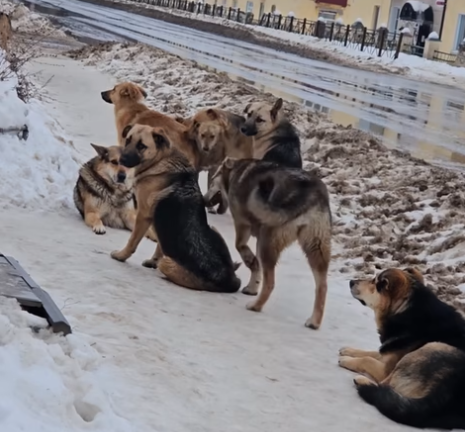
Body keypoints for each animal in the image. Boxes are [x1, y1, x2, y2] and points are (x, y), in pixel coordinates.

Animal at [338, 268, 464, 430]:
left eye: (374, 282)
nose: (351, 281)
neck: (405, 311)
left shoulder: (386, 368)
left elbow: (367, 359)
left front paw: (346, 359)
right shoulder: (388, 350)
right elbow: (372, 352)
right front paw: (349, 350)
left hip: (433, 346)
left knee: (385, 386)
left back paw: (362, 381)